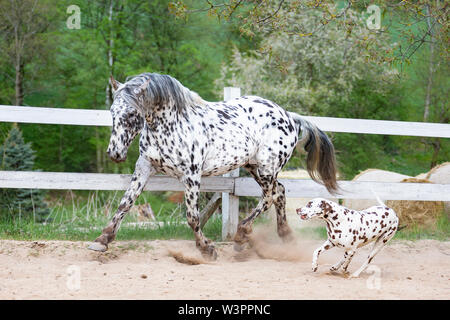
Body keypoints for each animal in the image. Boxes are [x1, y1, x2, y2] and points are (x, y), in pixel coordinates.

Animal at [87, 73, 338, 260]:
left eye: (132, 113)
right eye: (112, 112)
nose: (115, 153)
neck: (171, 125)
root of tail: (288, 116)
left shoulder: (191, 175)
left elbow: (192, 216)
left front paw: (206, 248)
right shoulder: (144, 167)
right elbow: (125, 204)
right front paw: (102, 240)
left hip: (267, 168)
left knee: (269, 196)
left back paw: (242, 235)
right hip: (254, 167)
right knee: (280, 192)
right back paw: (285, 236)